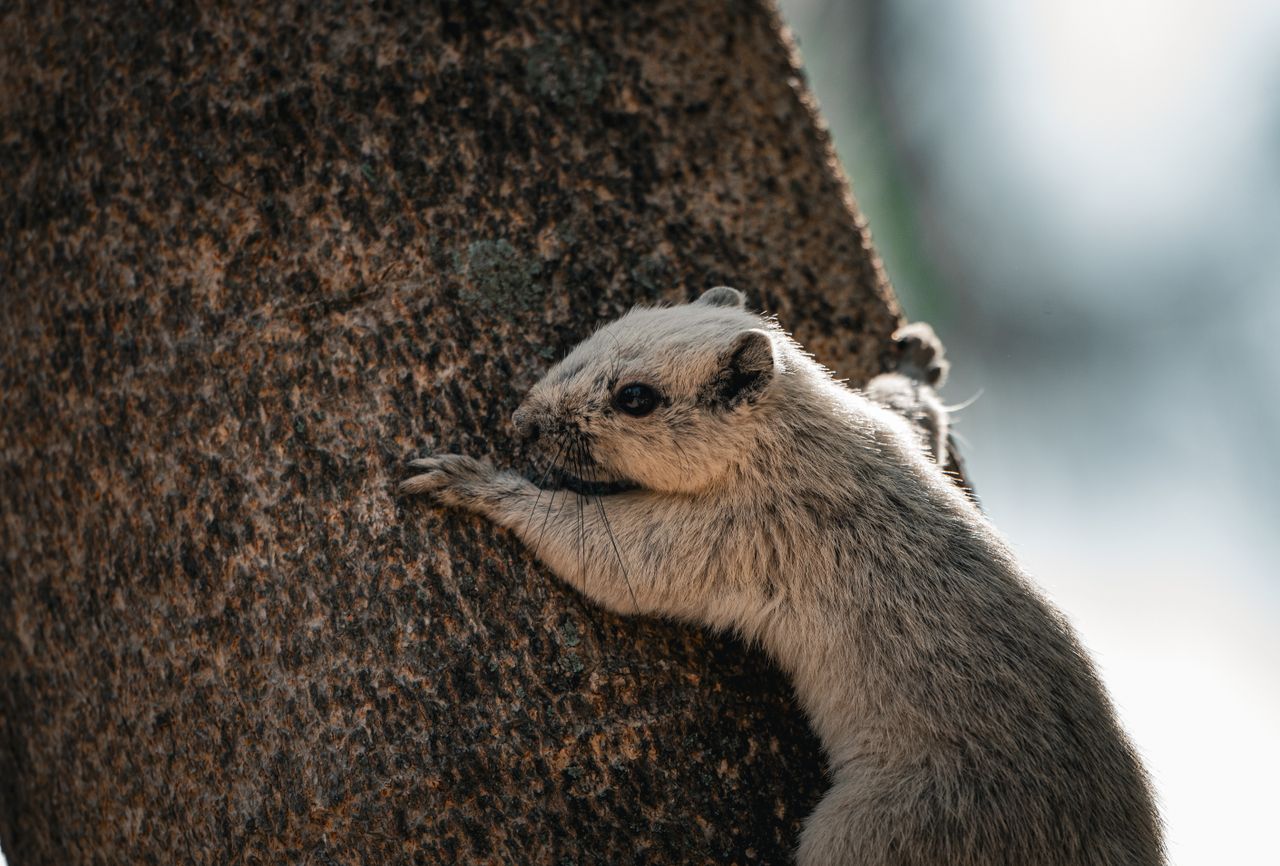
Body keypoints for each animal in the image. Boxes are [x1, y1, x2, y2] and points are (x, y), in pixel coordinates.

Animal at [401, 287, 1163, 865]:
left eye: (637, 398)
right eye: (592, 338)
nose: (520, 423)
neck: (795, 439)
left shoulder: (736, 536)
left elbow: (604, 556)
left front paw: (477, 483)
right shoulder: (889, 434)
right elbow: (915, 415)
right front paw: (915, 361)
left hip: (878, 833)